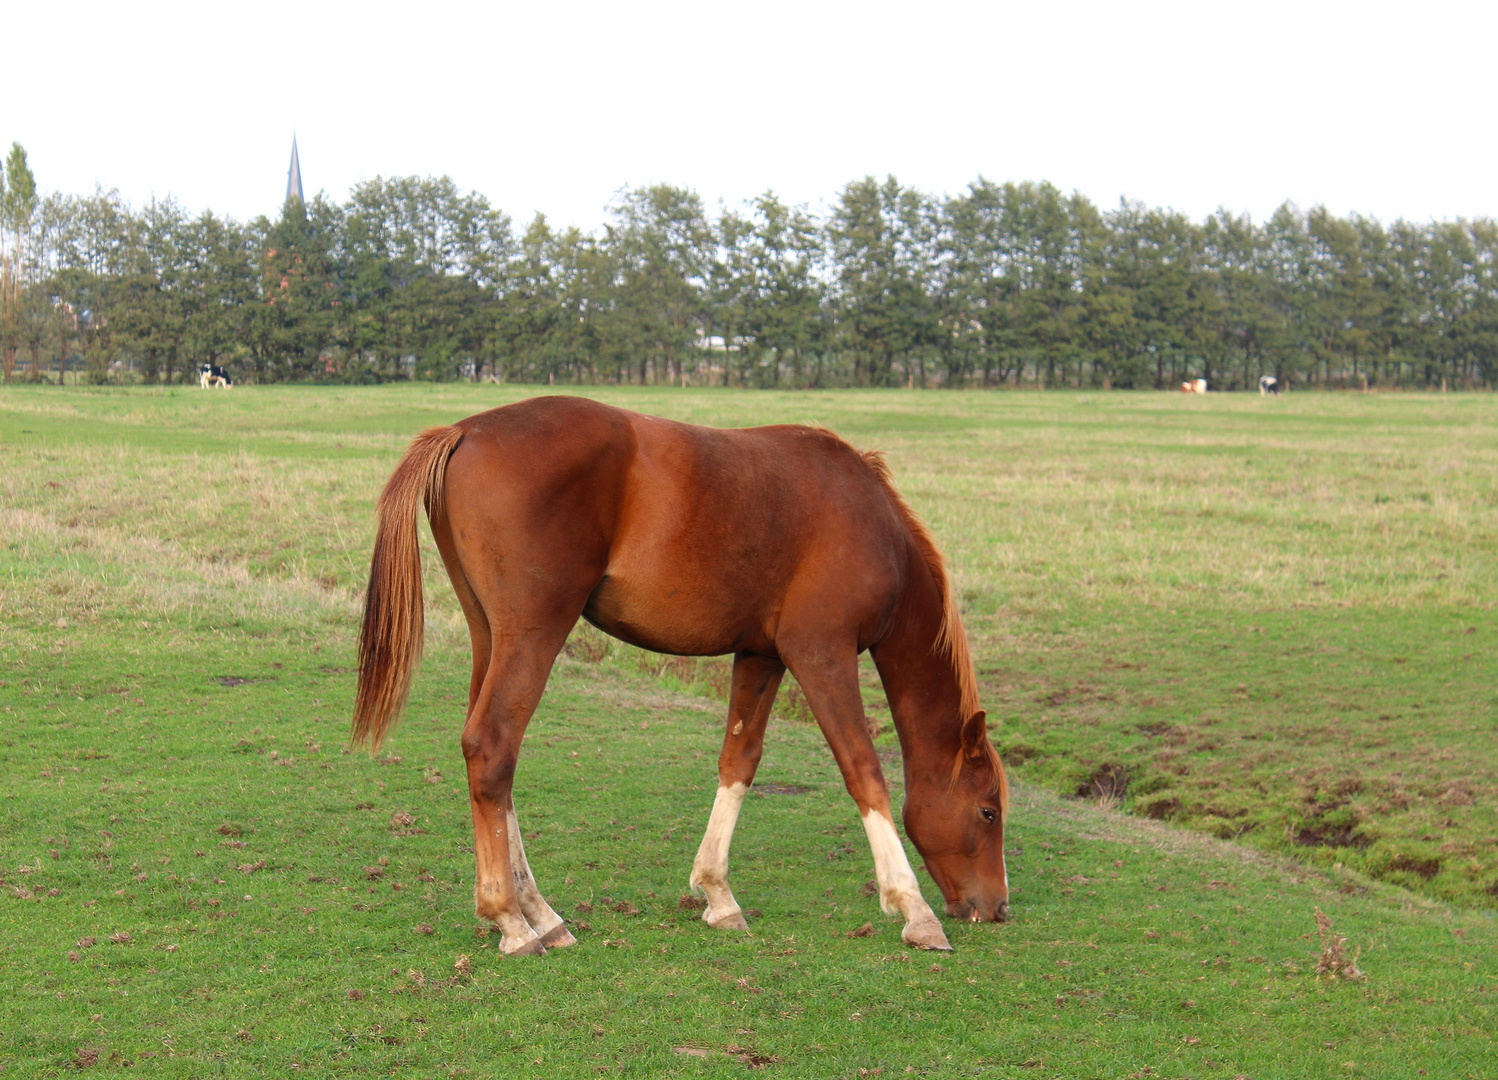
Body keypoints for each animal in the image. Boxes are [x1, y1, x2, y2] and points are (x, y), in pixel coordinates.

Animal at [350, 392, 1006, 952]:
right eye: (988, 811)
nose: (996, 907)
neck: (873, 524)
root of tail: (465, 431)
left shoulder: (762, 655)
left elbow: (739, 761)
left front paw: (718, 894)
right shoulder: (822, 653)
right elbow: (863, 770)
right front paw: (913, 909)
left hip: (491, 635)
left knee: (488, 759)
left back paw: (541, 914)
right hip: (532, 634)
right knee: (492, 748)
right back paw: (511, 919)